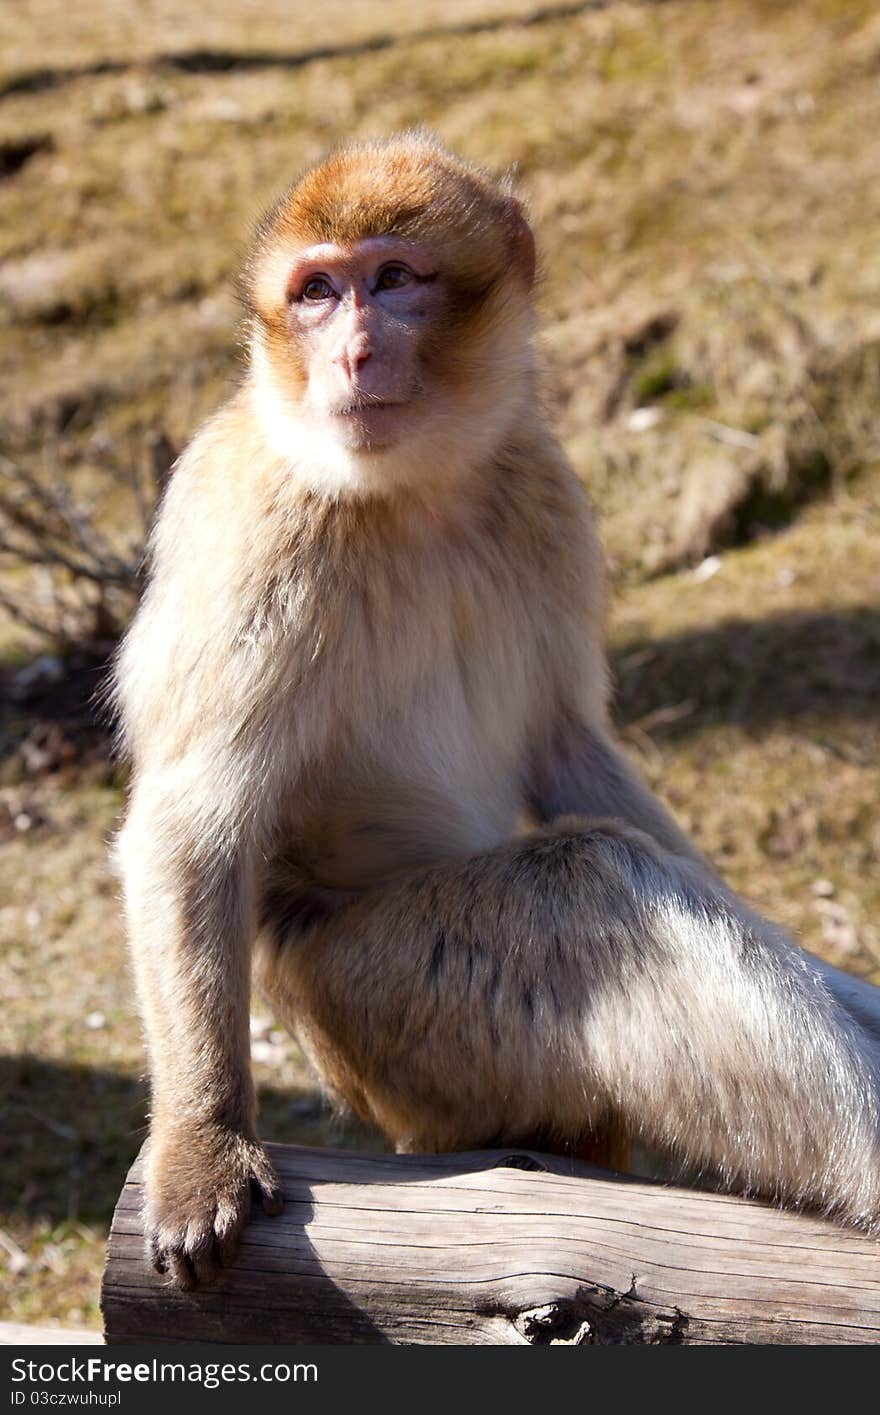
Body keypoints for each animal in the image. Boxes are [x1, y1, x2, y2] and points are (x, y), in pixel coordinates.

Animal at [115, 135, 880, 1296]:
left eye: (392, 279)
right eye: (315, 293)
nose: (351, 355)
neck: (412, 487)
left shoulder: (542, 486)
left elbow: (567, 744)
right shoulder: (258, 530)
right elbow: (190, 825)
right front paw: (204, 1141)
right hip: (387, 1014)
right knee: (587, 885)